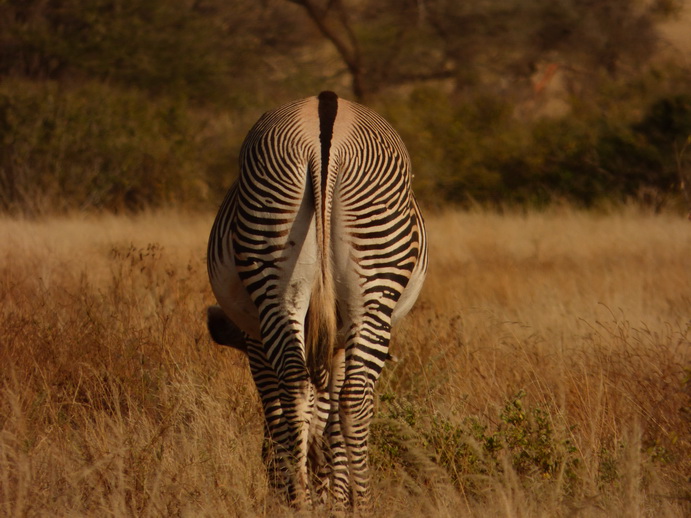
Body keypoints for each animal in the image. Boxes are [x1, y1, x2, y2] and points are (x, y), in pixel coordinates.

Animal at [205, 91, 428, 510]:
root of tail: (326, 110)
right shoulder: (321, 340)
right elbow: (323, 416)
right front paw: (333, 496)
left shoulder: (261, 340)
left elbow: (297, 412)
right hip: (367, 284)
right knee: (349, 398)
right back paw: (355, 504)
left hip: (281, 279)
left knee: (302, 389)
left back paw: (305, 502)